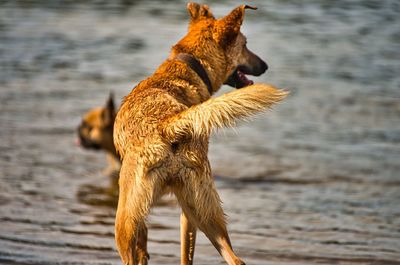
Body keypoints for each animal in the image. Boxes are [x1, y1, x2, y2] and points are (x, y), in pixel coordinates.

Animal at [112, 2, 288, 264]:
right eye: (245, 44)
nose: (265, 65)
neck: (187, 68)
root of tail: (167, 124)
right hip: (199, 210)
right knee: (234, 258)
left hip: (127, 220)